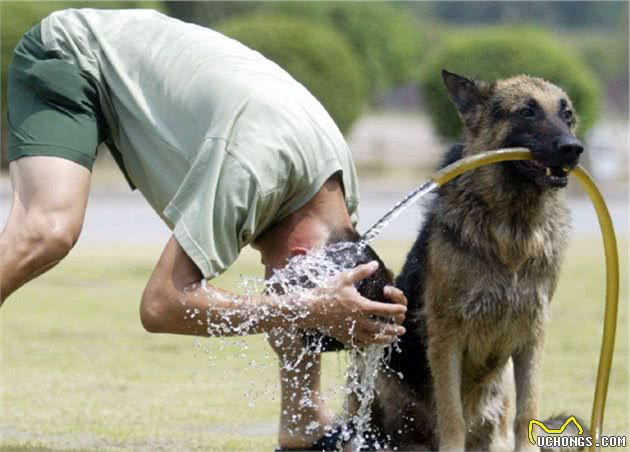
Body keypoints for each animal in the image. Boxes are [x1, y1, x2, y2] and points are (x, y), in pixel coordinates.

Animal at [370, 72, 588, 450]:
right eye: (527, 111)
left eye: (567, 115)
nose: (573, 148)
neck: (513, 230)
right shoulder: (446, 336)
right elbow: (452, 415)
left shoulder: (532, 335)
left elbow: (527, 411)